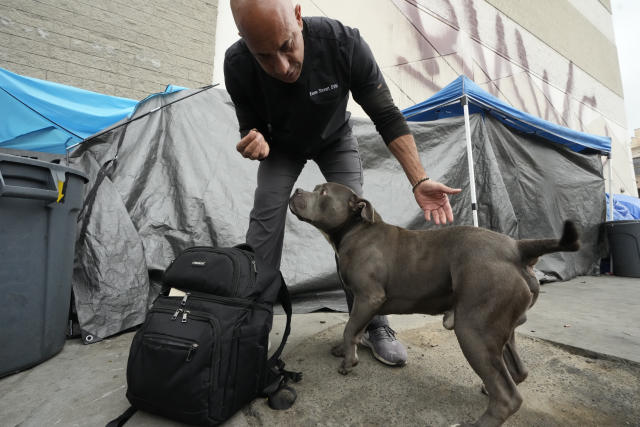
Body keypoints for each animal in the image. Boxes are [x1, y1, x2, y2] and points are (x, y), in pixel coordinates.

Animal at [290, 182, 580, 426]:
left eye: (323, 193)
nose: (296, 190)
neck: (356, 229)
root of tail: (517, 248)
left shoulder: (368, 297)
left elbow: (350, 327)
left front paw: (348, 361)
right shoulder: (363, 302)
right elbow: (355, 327)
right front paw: (343, 350)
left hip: (473, 330)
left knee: (508, 398)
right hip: (501, 327)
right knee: (518, 371)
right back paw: (490, 388)